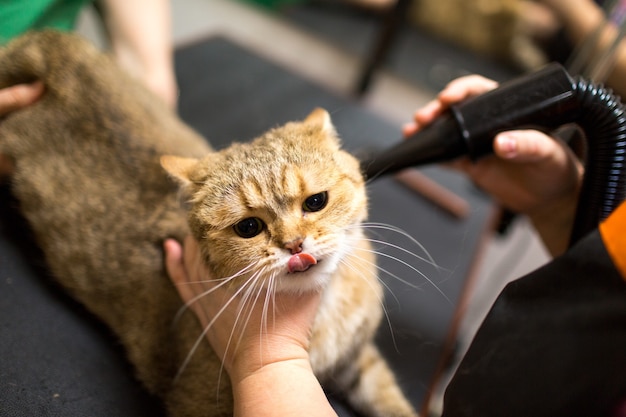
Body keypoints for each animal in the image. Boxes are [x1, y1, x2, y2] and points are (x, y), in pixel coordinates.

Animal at [1, 30, 420, 416]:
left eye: (315, 202)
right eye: (248, 228)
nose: (293, 244)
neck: (324, 311)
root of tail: (58, 49)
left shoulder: (358, 362)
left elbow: (392, 401)